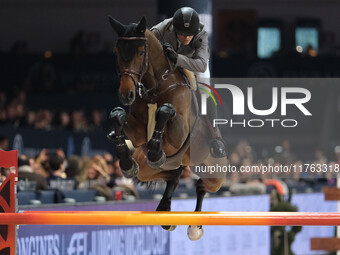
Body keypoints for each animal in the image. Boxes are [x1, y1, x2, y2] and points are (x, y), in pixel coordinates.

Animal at [107, 16, 227, 241]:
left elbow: (165, 112)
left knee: (201, 185)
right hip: (147, 168)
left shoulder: (179, 135)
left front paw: (156, 148)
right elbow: (117, 115)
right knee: (174, 176)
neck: (156, 87)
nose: (126, 94)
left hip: (216, 173)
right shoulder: (137, 133)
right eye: (116, 52)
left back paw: (194, 226)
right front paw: (126, 160)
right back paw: (165, 209)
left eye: (141, 53)